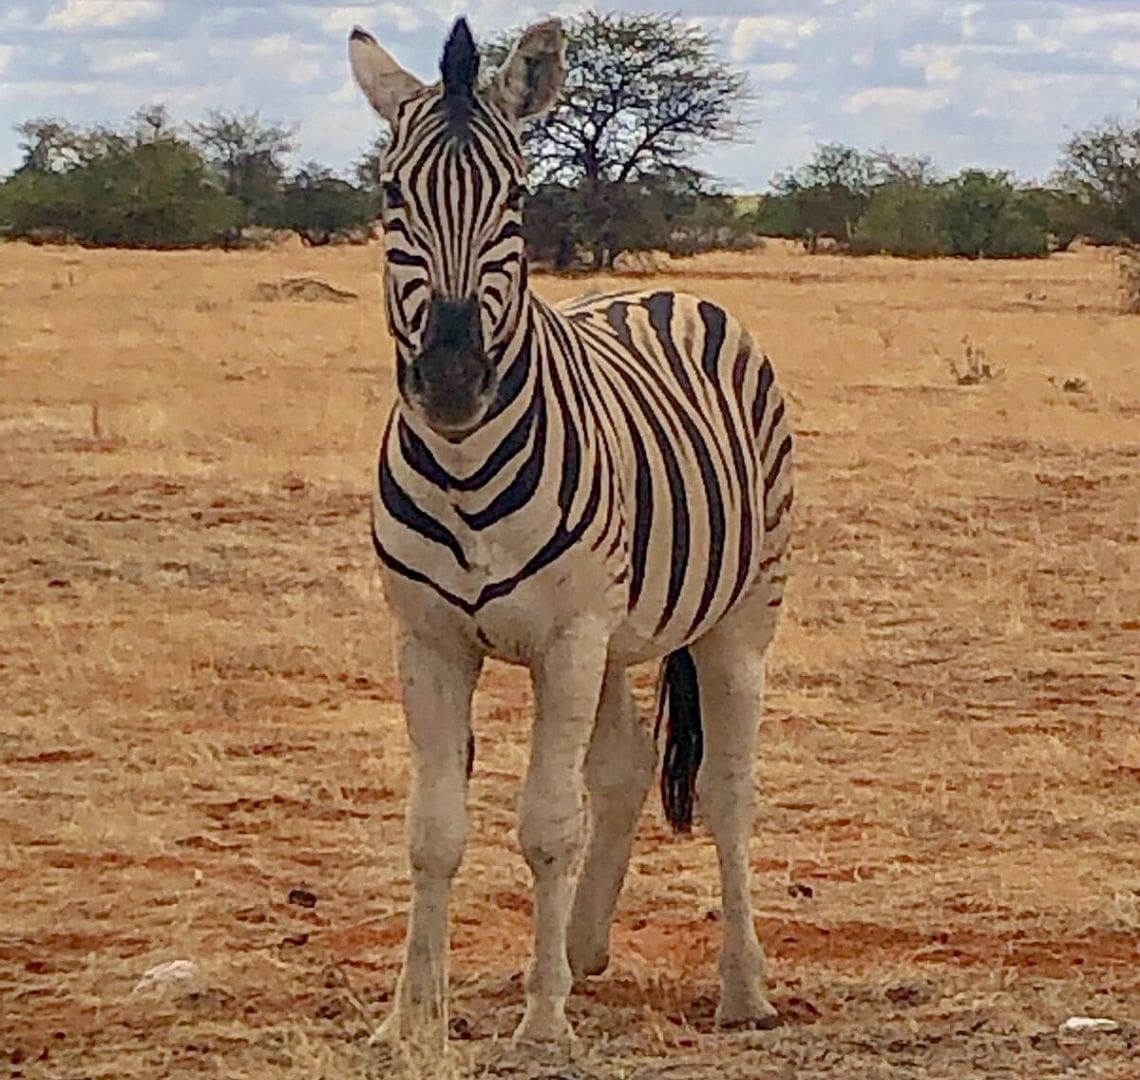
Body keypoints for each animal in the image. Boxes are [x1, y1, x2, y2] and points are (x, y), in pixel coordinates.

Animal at [346, 14, 793, 1049]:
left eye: (514, 196)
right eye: (392, 195)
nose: (452, 381)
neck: (466, 471)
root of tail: (674, 295)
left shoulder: (566, 638)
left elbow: (547, 825)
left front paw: (543, 1021)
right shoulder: (427, 639)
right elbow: (433, 832)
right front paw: (410, 1019)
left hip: (737, 614)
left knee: (729, 792)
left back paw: (742, 989)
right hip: (620, 636)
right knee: (625, 770)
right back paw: (585, 949)